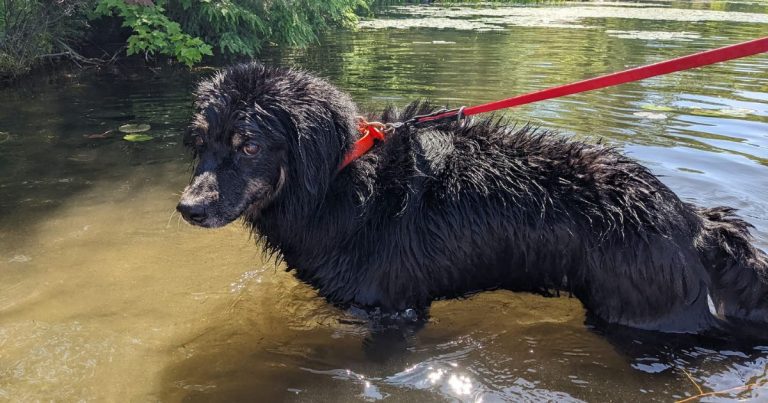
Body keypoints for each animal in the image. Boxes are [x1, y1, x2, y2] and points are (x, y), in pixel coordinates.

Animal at [177, 63, 768, 340]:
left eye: (249, 145)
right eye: (202, 141)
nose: (187, 209)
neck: (339, 183)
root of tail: (690, 219)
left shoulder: (393, 307)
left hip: (641, 317)